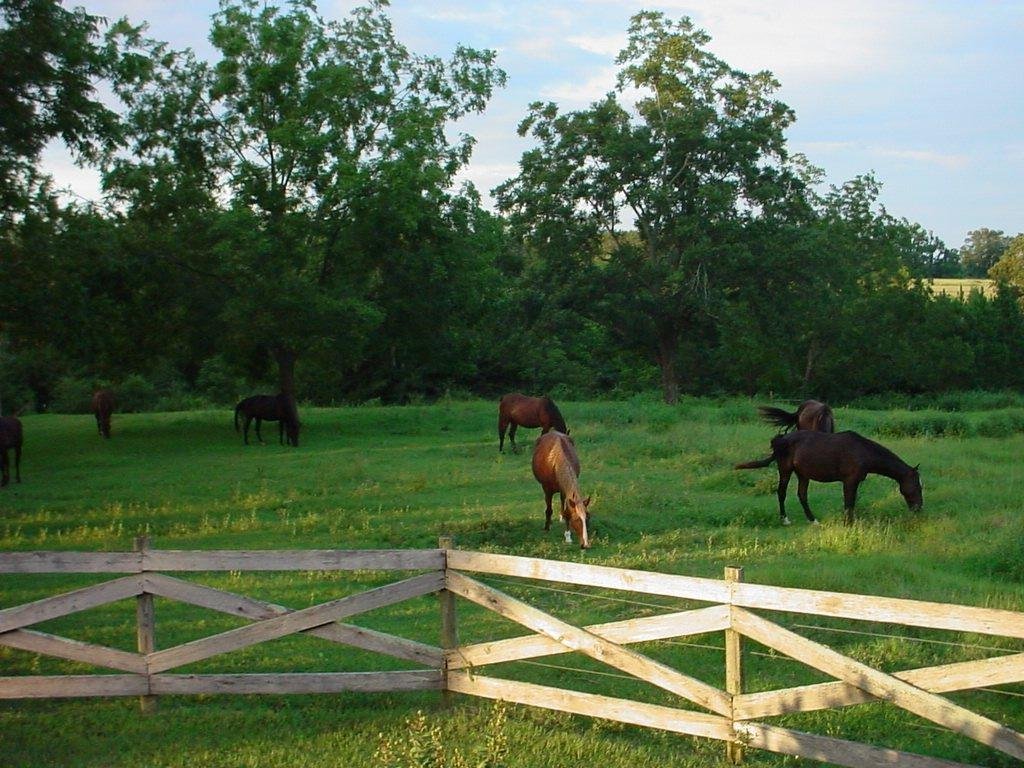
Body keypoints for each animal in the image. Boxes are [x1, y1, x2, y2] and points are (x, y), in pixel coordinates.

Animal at [735, 430, 922, 526]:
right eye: (917, 486)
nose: (919, 508)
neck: (863, 452)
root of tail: (781, 439)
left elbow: (851, 503)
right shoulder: (849, 481)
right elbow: (849, 504)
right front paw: (849, 524)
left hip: (803, 474)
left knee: (802, 495)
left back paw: (813, 520)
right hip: (785, 470)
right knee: (781, 493)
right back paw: (785, 519)